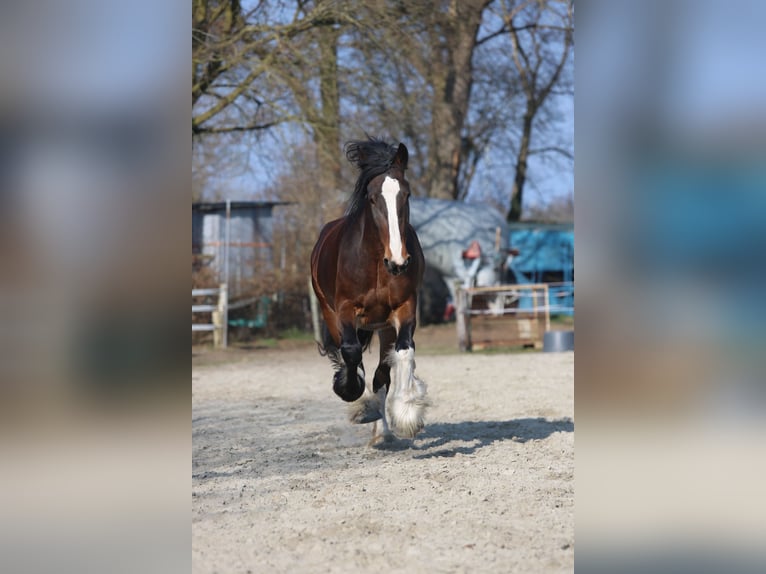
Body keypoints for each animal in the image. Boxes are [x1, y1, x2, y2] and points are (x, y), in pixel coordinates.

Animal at [310, 137, 429, 443]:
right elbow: (351, 353)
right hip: (329, 312)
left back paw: (381, 432)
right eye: (373, 197)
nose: (398, 262)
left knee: (382, 373)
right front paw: (356, 399)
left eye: (406, 195)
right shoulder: (345, 309)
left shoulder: (405, 308)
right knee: (350, 354)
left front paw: (407, 413)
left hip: (384, 327)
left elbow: (403, 353)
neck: (376, 263)